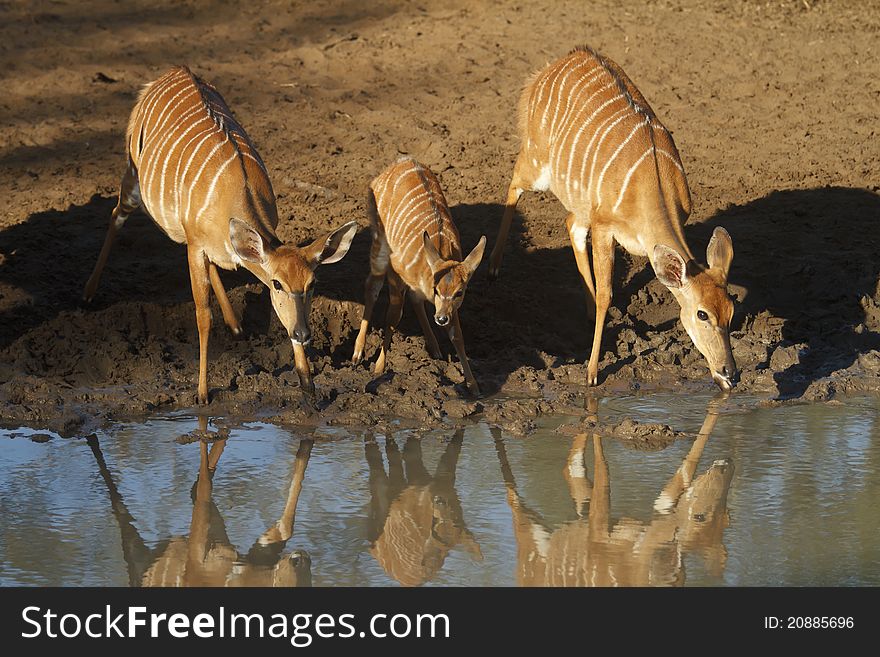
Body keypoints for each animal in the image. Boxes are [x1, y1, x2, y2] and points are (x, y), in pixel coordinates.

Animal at [82, 68, 356, 404]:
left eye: (312, 283)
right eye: (277, 283)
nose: (304, 333)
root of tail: (173, 71)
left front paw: (308, 387)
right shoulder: (195, 246)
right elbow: (203, 316)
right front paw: (202, 393)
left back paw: (236, 325)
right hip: (133, 180)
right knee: (115, 215)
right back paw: (88, 292)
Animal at [352, 159, 488, 394]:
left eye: (459, 292)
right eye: (436, 290)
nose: (441, 318)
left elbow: (457, 335)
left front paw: (474, 387)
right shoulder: (395, 272)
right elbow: (392, 317)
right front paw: (379, 368)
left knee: (414, 299)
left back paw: (434, 348)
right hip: (379, 244)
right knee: (372, 287)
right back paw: (357, 353)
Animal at [492, 46, 740, 392]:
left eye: (731, 310)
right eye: (702, 314)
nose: (730, 373)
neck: (651, 186)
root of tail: (547, 70)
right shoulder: (605, 227)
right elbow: (606, 294)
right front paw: (591, 373)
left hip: (581, 201)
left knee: (570, 223)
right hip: (537, 163)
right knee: (514, 183)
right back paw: (494, 264)